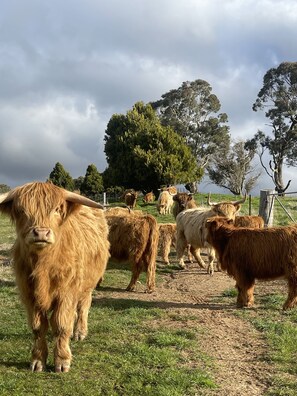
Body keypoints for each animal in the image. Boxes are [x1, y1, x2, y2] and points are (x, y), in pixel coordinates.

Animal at [0, 181, 110, 372]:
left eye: (57, 209)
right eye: (21, 210)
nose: (41, 233)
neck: (43, 266)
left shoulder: (67, 293)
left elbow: (61, 324)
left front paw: (62, 360)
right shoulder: (29, 295)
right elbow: (38, 327)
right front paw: (37, 360)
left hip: (87, 284)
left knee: (83, 307)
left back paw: (79, 332)